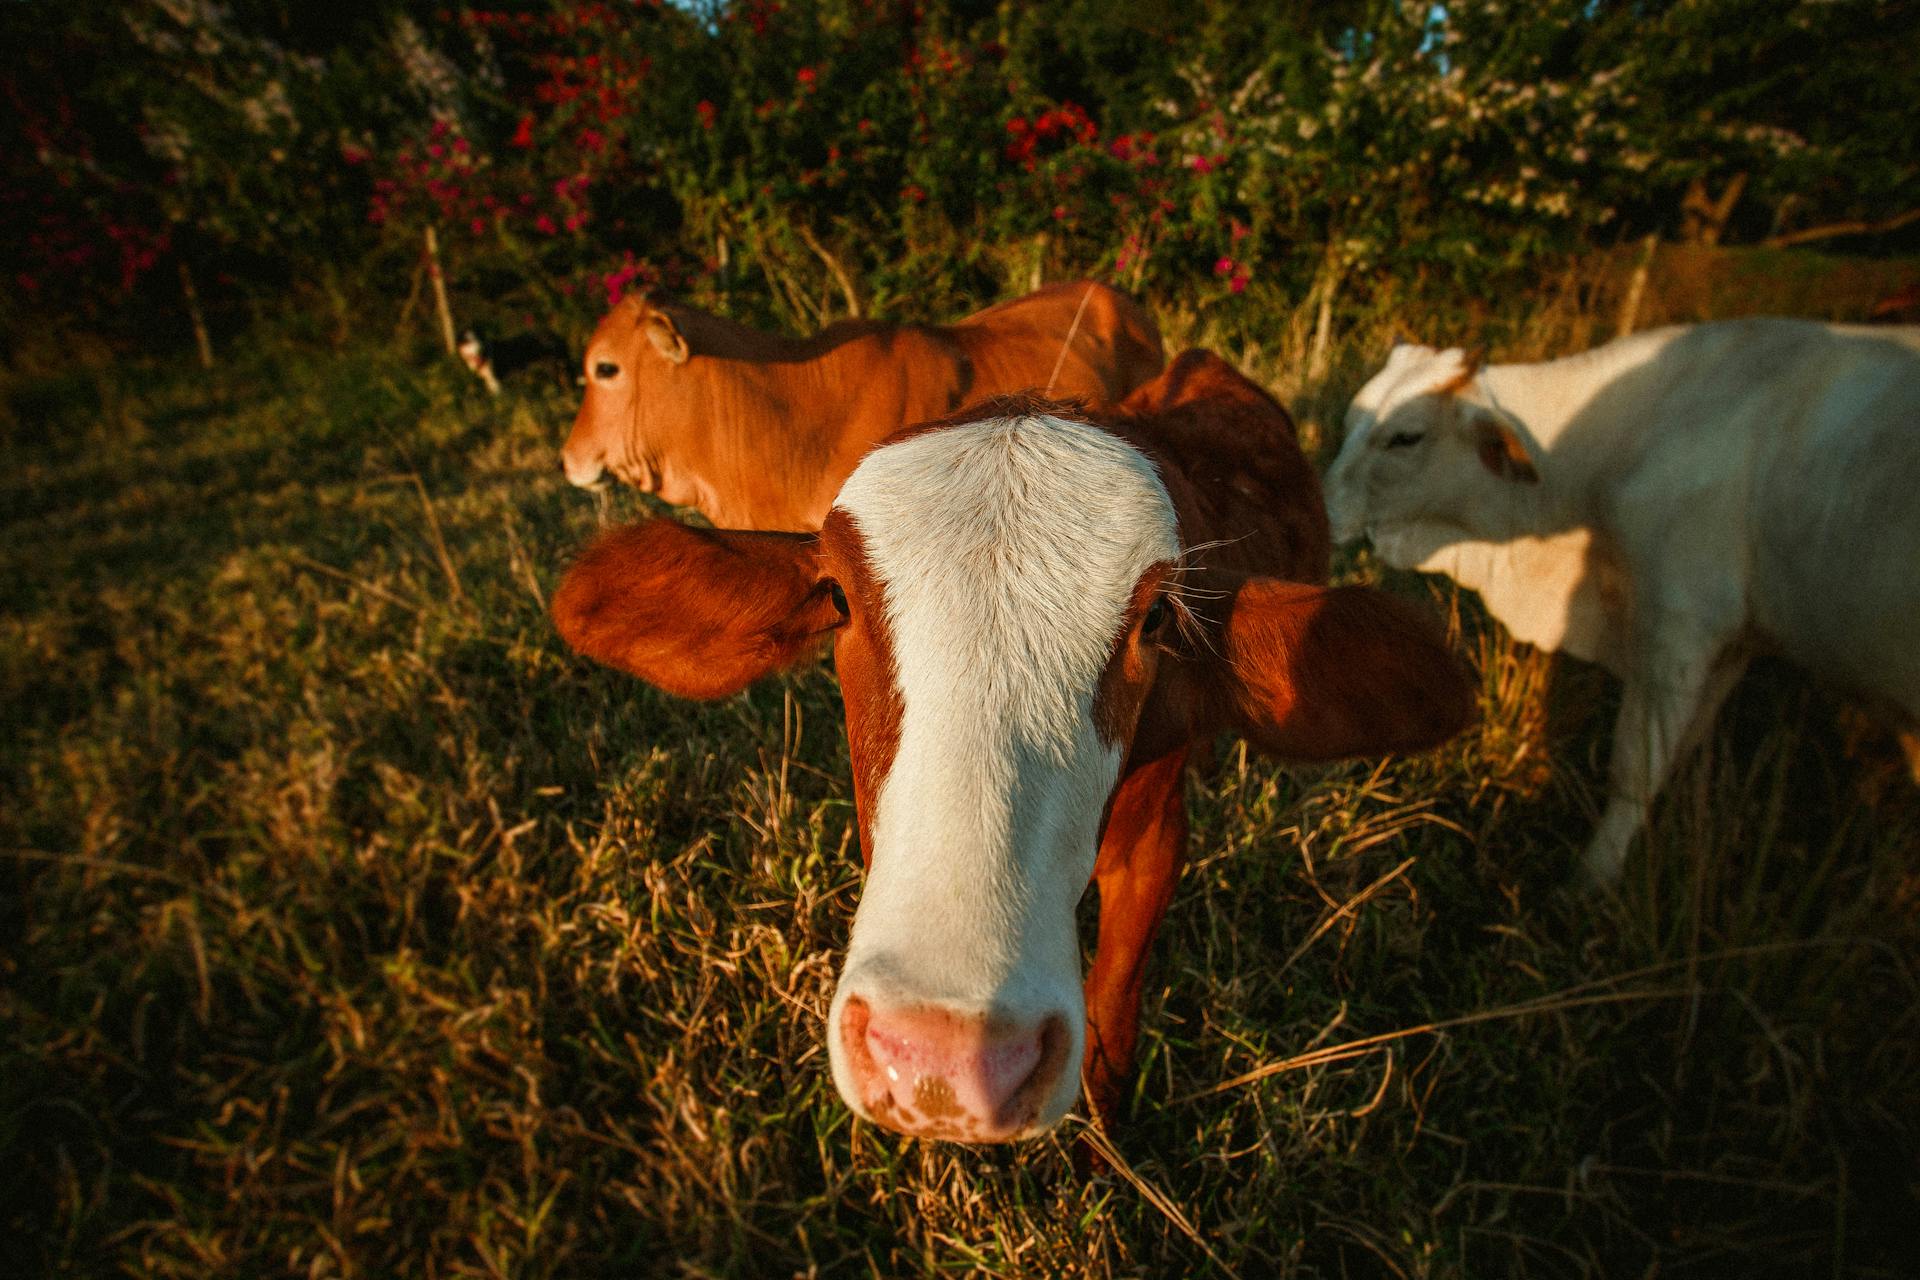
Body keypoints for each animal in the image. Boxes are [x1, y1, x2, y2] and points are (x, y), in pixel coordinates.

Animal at [1320, 314, 1920, 886]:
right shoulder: (1734, 642)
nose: (1320, 510)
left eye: (1406, 438)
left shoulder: (1678, 622)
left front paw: (1590, 880)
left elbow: (1637, 768)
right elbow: (1677, 756)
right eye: (1350, 422)